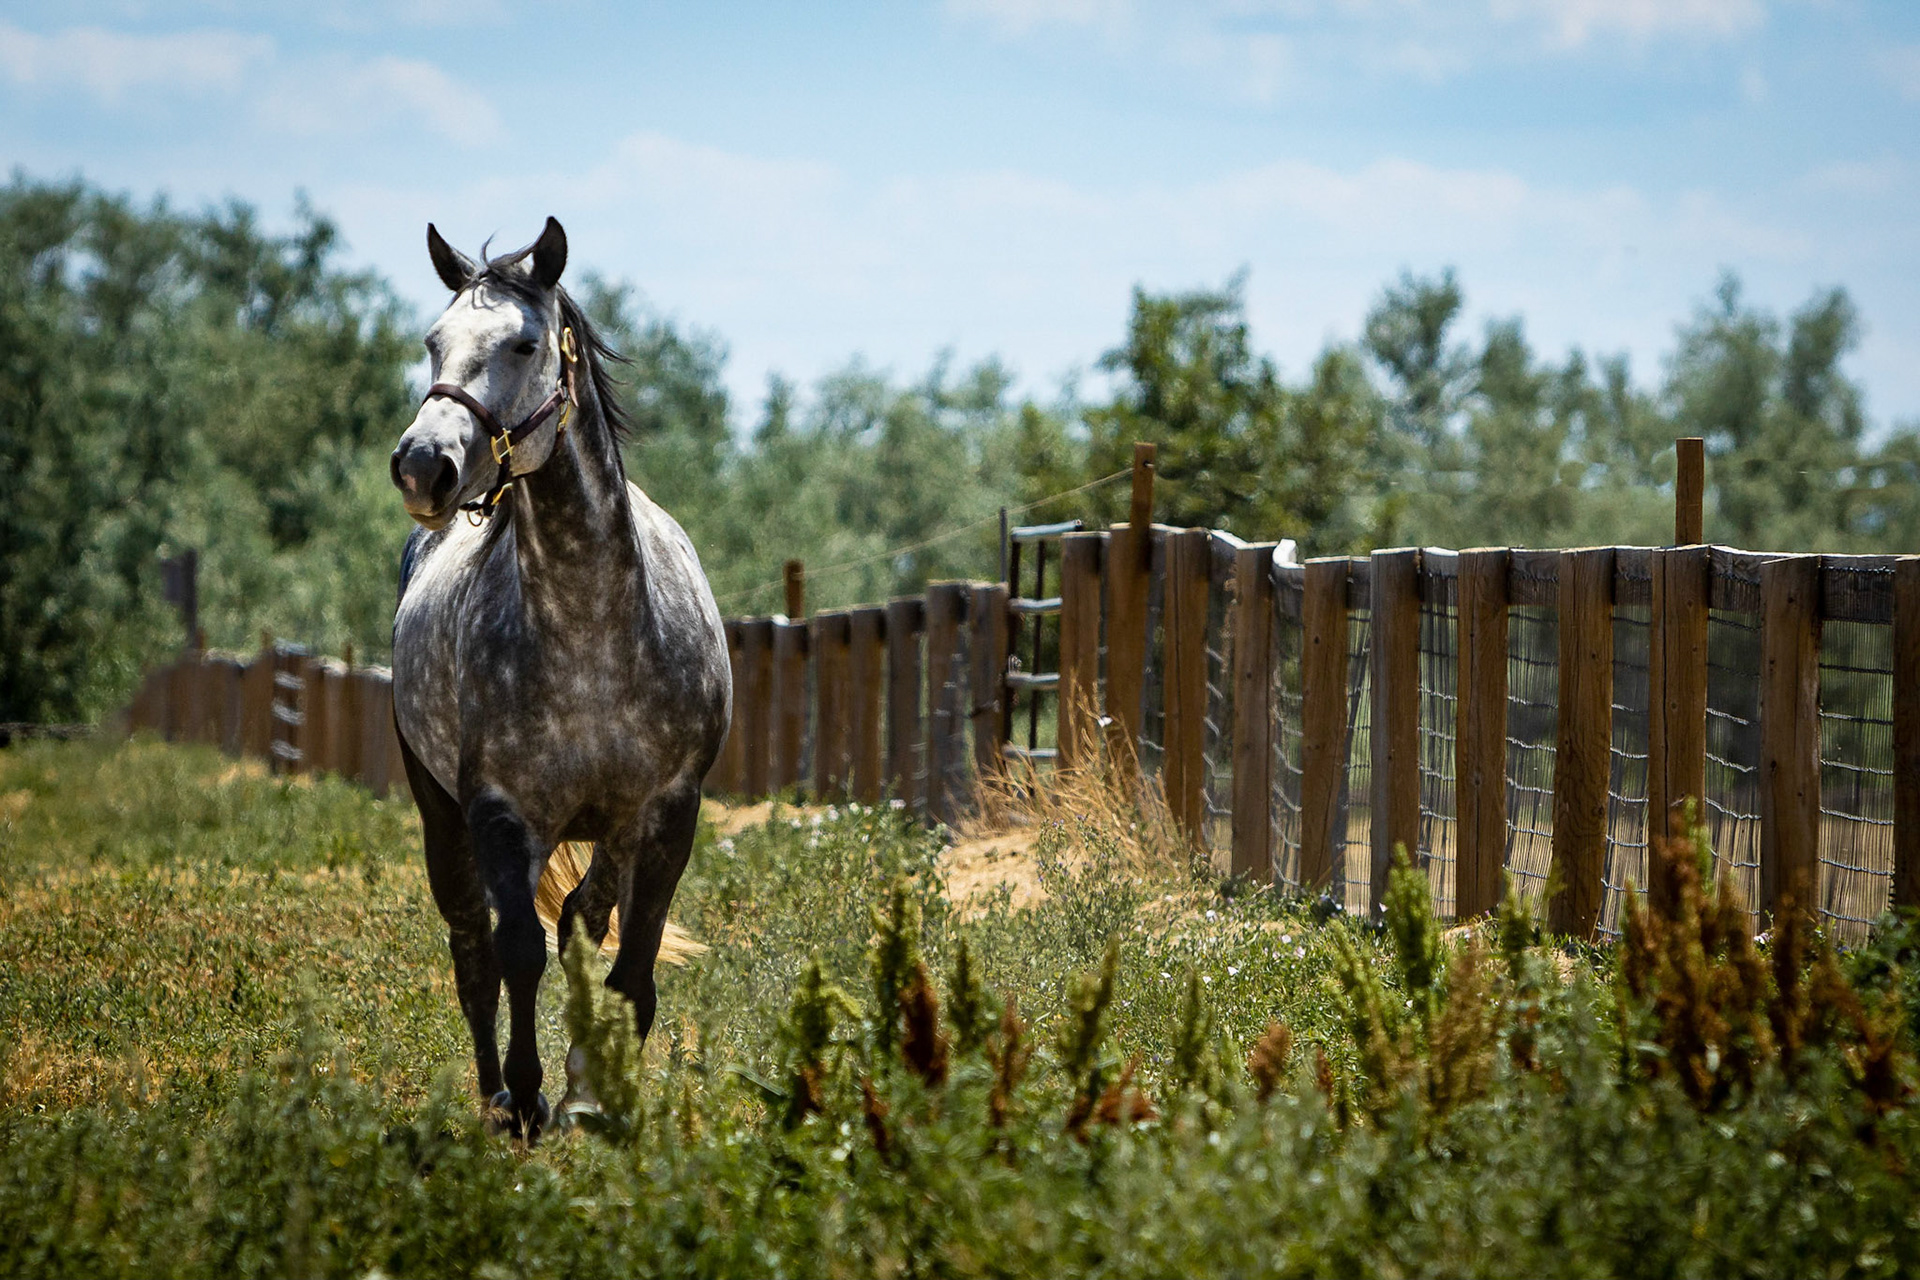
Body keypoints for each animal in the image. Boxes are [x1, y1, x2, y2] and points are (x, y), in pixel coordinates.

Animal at [388, 217, 730, 1142]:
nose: (422, 466)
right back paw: (496, 1096)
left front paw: (594, 1090)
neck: (593, 632)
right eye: (433, 341)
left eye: (523, 342)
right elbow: (517, 952)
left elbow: (631, 961)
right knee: (473, 946)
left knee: (583, 914)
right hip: (441, 817)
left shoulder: (666, 814)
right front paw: (529, 1093)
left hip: (610, 829)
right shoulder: (503, 814)